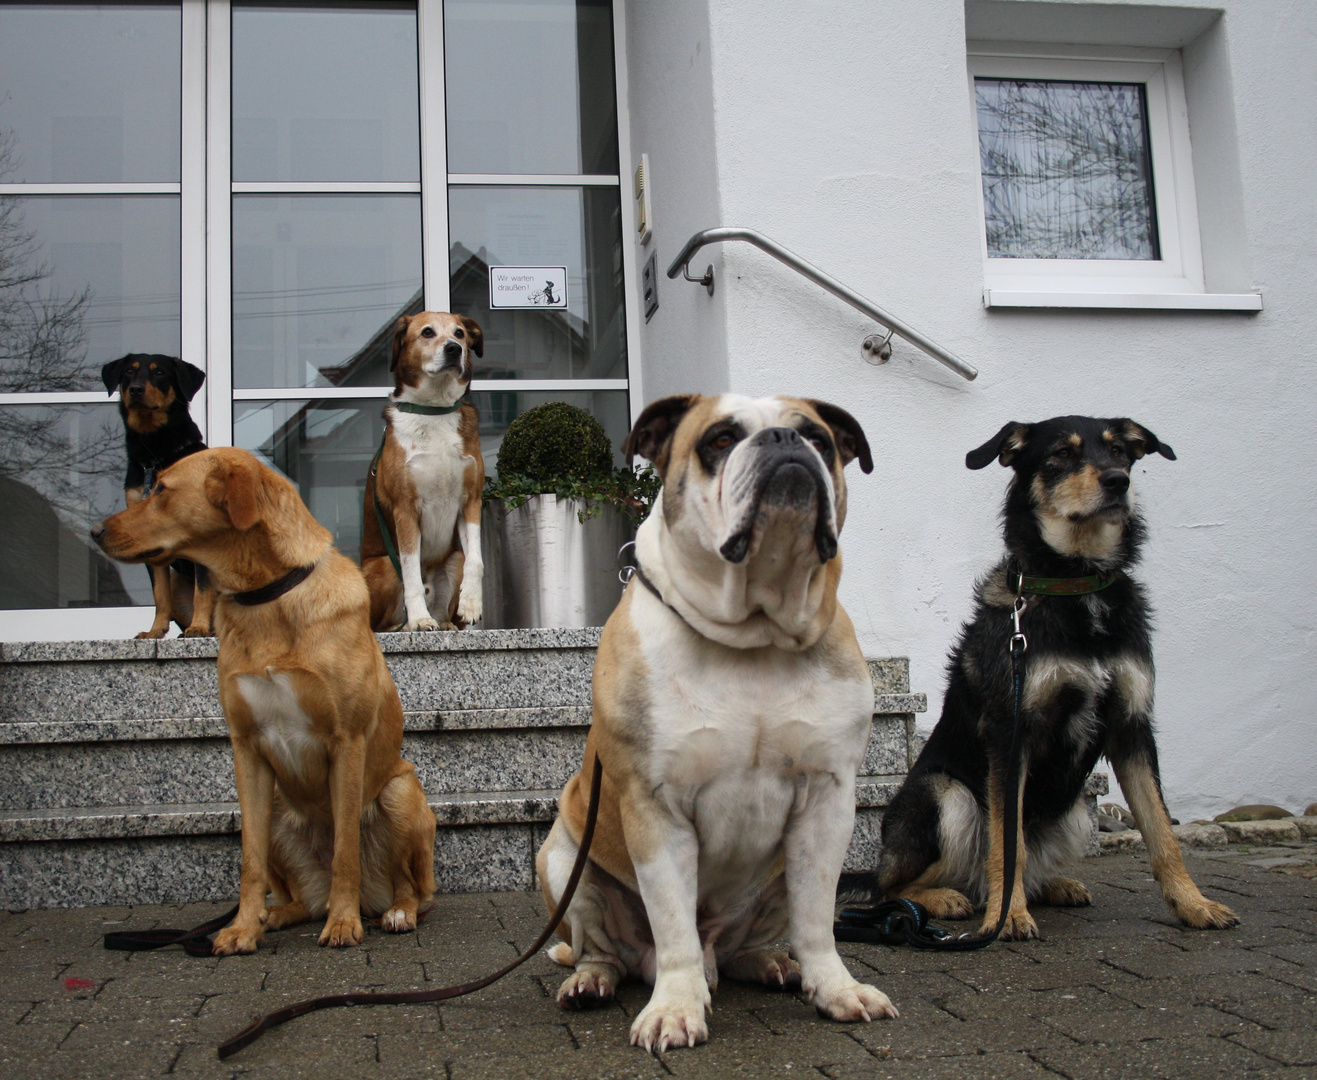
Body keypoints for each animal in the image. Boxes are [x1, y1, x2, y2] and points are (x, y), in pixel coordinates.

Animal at [95, 447, 442, 953]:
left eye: (160, 488)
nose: (95, 532)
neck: (266, 599)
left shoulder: (347, 742)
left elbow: (345, 852)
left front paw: (342, 924)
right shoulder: (248, 751)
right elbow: (250, 861)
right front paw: (242, 927)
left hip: (399, 791)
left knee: (411, 886)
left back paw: (392, 912)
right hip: (279, 804)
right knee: (299, 897)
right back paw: (276, 915)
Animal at [101, 355, 214, 637]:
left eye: (160, 373)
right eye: (128, 372)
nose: (136, 390)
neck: (155, 453)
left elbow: (203, 588)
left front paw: (198, 627)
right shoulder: (148, 537)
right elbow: (159, 593)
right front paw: (154, 631)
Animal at [360, 309, 484, 632]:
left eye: (459, 333)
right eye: (427, 332)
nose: (454, 349)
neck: (434, 410)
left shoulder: (471, 500)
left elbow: (476, 561)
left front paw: (471, 604)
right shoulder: (405, 508)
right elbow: (410, 570)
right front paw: (417, 619)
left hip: (453, 558)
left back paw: (446, 623)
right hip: (382, 567)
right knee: (379, 623)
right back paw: (406, 624)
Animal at [848, 418, 1237, 943]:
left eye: (1121, 451)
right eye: (1061, 455)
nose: (1119, 482)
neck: (1076, 585)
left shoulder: (1133, 726)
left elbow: (1162, 832)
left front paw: (1193, 905)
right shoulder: (1012, 731)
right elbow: (1006, 843)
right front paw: (1009, 917)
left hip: (1075, 812)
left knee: (1021, 867)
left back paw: (1050, 886)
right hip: (948, 797)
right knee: (897, 887)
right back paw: (948, 900)